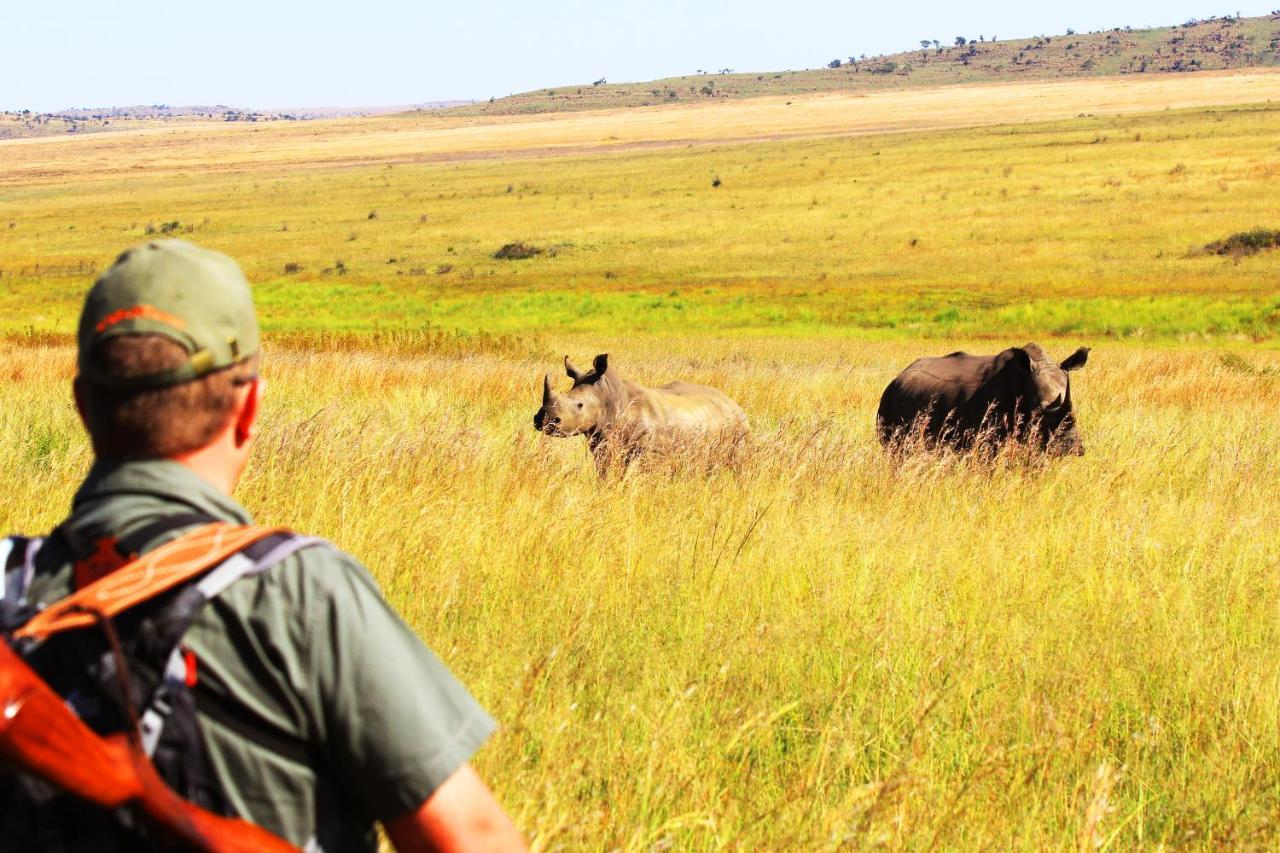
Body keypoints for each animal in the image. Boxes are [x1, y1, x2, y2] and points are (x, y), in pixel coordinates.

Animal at [532, 350, 747, 466]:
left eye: (579, 405)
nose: (544, 420)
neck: (610, 398)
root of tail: (733, 403)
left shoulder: (650, 452)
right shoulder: (602, 446)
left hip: (739, 427)